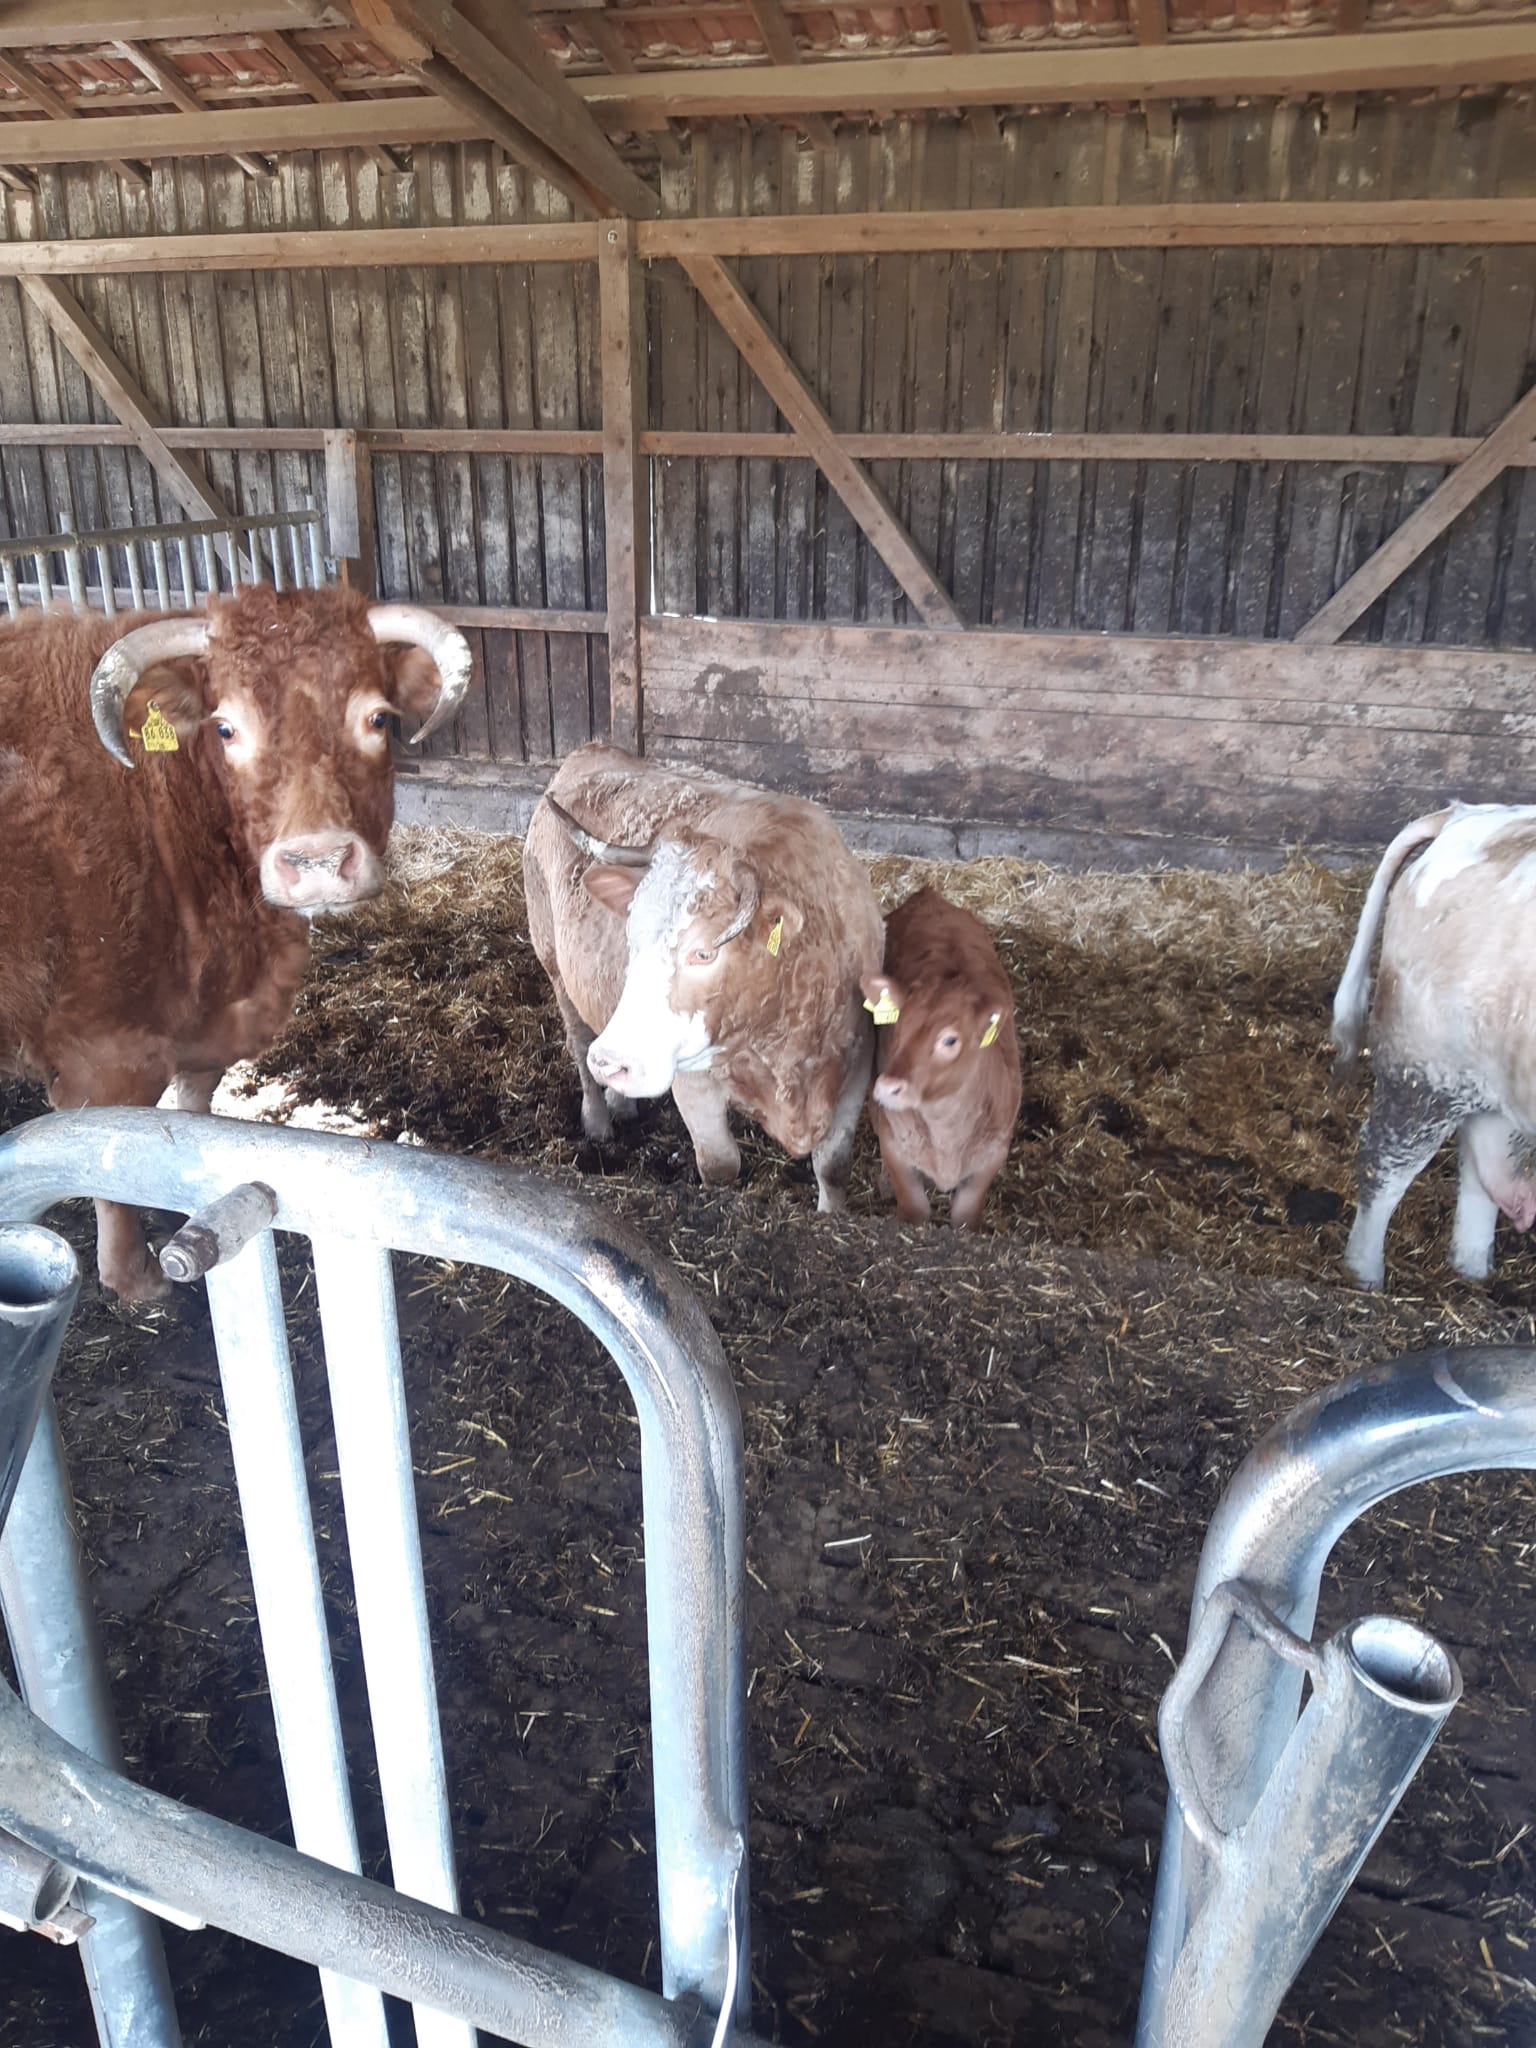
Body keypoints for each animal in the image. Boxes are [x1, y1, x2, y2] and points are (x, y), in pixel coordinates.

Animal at [0, 585, 472, 1301]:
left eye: (378, 719)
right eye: (226, 729)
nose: (316, 862)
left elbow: (192, 1120)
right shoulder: (106, 1051)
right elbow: (106, 1161)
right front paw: (137, 1277)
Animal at [524, 745, 884, 1211]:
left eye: (704, 952)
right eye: (631, 934)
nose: (612, 1061)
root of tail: (591, 751)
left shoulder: (856, 1065)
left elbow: (834, 1165)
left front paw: (830, 1216)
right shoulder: (694, 1082)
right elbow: (720, 1166)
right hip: (555, 966)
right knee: (579, 1042)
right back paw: (598, 1121)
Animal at [860, 886, 1021, 1231]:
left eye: (950, 1040)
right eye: (897, 1025)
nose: (888, 1086)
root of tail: (928, 894)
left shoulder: (992, 1155)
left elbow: (966, 1217)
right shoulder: (895, 1144)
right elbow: (914, 1209)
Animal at [1333, 800, 1536, 1288]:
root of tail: (1466, 814)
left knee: (1482, 1173)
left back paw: (1474, 1276)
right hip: (1422, 1071)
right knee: (1383, 1167)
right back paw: (1366, 1278)